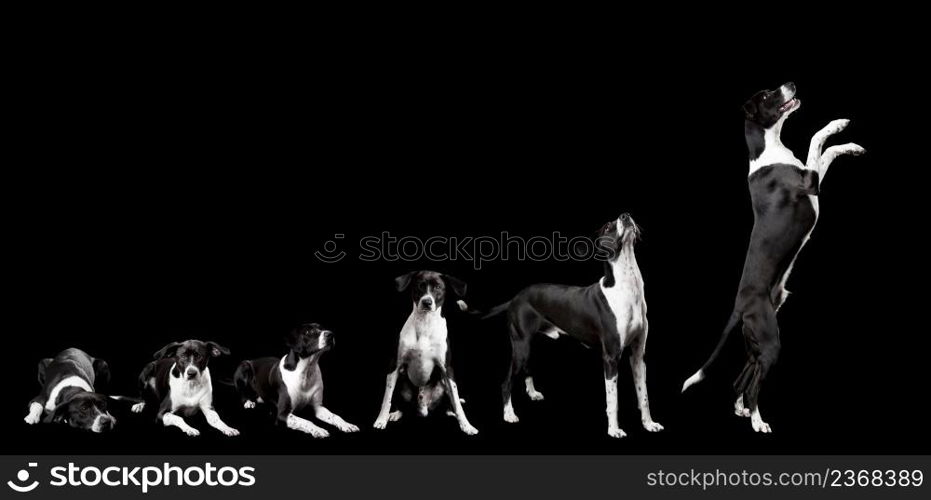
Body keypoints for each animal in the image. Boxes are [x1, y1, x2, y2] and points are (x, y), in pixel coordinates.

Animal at [374, 270, 480, 434]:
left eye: (438, 287)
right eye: (420, 286)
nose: (427, 302)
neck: (425, 324)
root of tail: (423, 409)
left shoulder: (447, 369)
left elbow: (457, 403)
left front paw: (466, 425)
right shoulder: (394, 366)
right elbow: (387, 399)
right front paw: (381, 420)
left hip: (443, 384)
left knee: (450, 405)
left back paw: (451, 413)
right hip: (402, 381)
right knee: (400, 404)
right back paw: (396, 413)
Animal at [480, 214, 664, 438]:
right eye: (607, 227)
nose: (625, 215)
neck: (626, 287)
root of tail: (515, 298)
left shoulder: (637, 355)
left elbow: (644, 396)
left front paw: (649, 424)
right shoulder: (611, 357)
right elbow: (613, 401)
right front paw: (614, 430)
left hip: (527, 346)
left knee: (527, 367)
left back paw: (532, 393)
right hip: (521, 346)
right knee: (506, 383)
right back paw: (509, 414)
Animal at [676, 82, 868, 434]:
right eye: (767, 96)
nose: (790, 83)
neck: (768, 149)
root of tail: (739, 307)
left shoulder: (812, 178)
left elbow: (825, 150)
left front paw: (850, 143)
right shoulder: (809, 181)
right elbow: (817, 142)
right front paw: (836, 127)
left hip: (757, 345)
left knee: (742, 378)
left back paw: (741, 409)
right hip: (769, 341)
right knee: (752, 384)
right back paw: (757, 421)